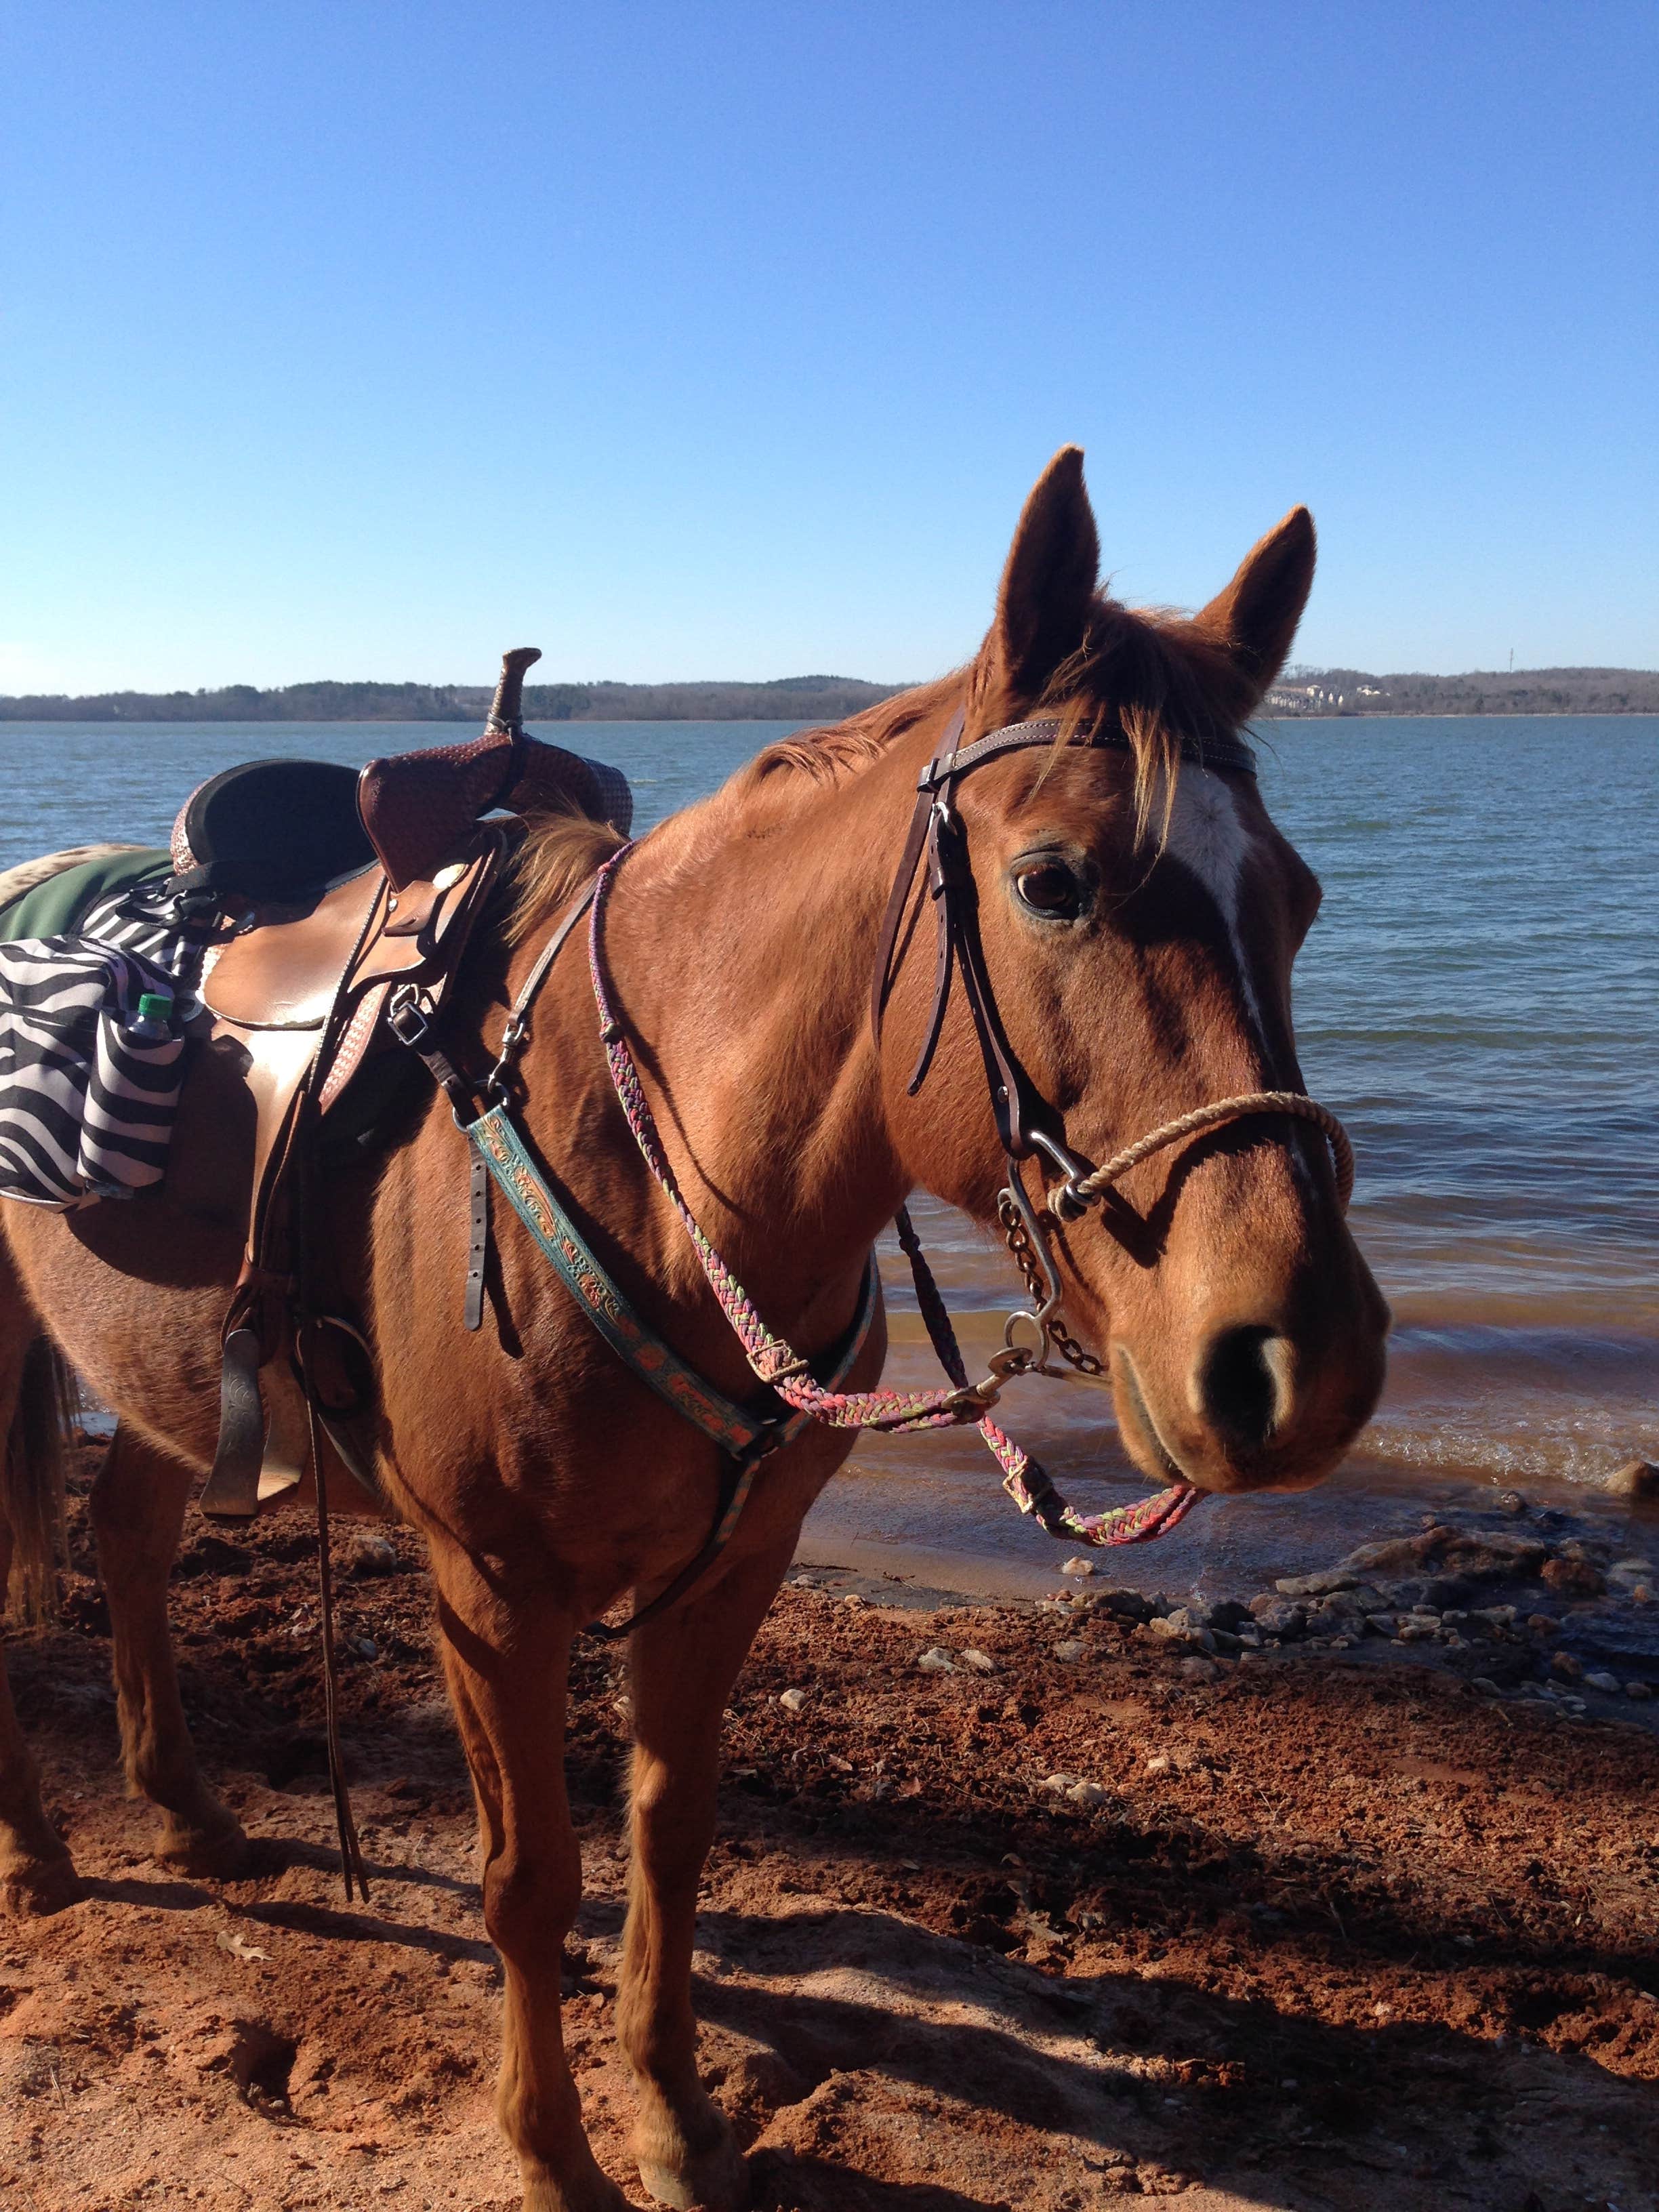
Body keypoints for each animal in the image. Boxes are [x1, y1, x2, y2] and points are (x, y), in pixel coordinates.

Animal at [0, 453, 1389, 2212]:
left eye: (1300, 898)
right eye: (1054, 883)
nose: (1300, 1359)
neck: (650, 1172)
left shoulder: (731, 1575)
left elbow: (669, 1836)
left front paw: (667, 2117)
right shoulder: (492, 1594)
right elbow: (529, 1877)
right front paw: (551, 2150)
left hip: (168, 1382)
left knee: (124, 1535)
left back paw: (186, 1817)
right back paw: (41, 1857)